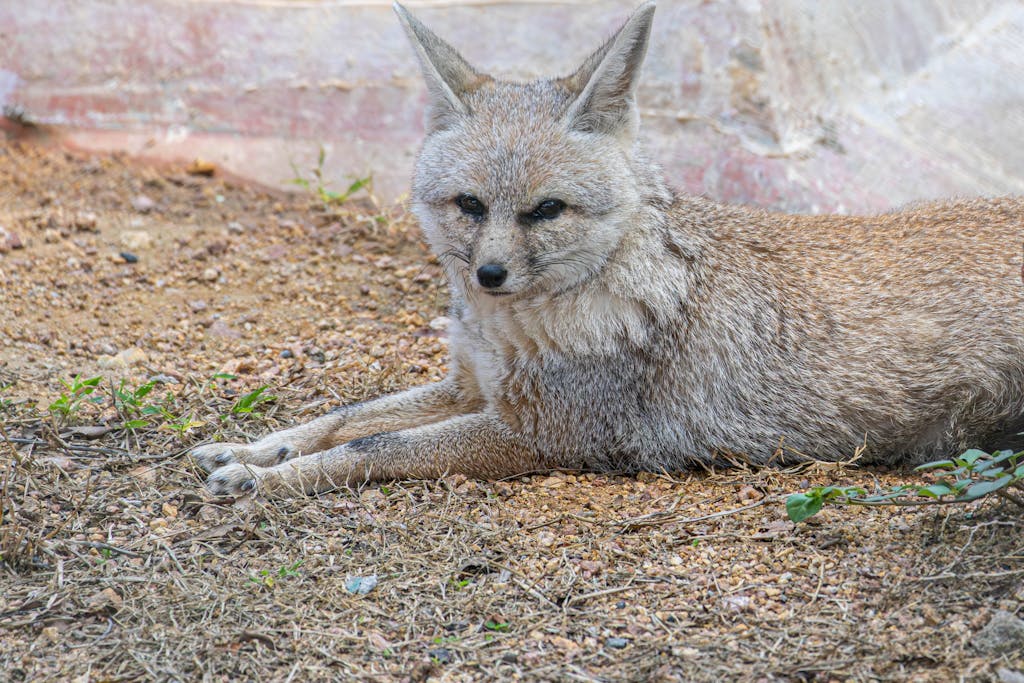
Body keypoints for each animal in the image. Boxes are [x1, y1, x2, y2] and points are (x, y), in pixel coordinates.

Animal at [198, 1, 1024, 497]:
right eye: (469, 206)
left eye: (546, 210)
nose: (490, 275)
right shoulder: (473, 386)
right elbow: (345, 414)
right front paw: (255, 448)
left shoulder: (539, 434)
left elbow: (376, 444)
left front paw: (266, 478)